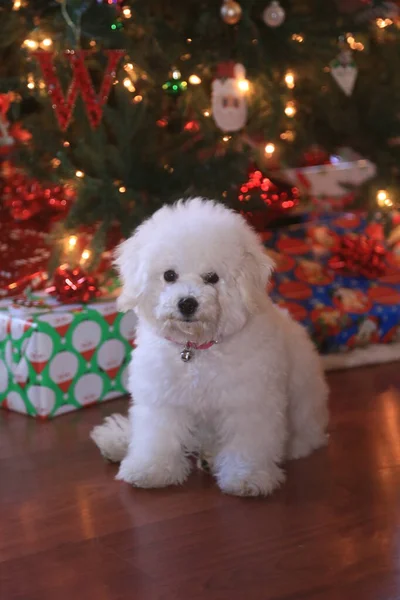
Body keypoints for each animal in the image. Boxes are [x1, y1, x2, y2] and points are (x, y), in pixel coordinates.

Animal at [91, 198, 328, 496]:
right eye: (169, 275)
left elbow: (248, 443)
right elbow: (157, 437)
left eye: (212, 277)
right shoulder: (162, 398)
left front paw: (246, 477)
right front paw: (151, 469)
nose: (187, 302)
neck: (195, 349)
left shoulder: (249, 401)